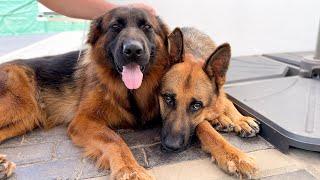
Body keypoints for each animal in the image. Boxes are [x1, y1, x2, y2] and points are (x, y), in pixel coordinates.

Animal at [160, 27, 260, 178]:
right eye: (168, 99)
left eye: (196, 106)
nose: (171, 146)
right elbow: (206, 128)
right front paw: (233, 155)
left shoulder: (220, 91)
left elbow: (227, 102)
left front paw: (241, 120)